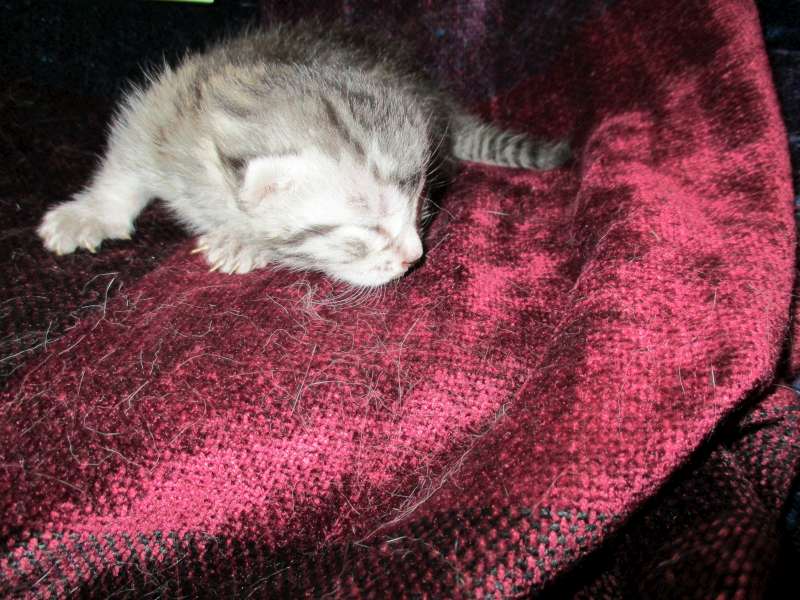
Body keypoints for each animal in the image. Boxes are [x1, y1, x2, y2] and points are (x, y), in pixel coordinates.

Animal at [37, 21, 569, 287]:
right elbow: (124, 165)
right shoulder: (165, 109)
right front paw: (90, 213)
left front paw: (242, 241)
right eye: (368, 229)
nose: (414, 257)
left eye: (421, 209)